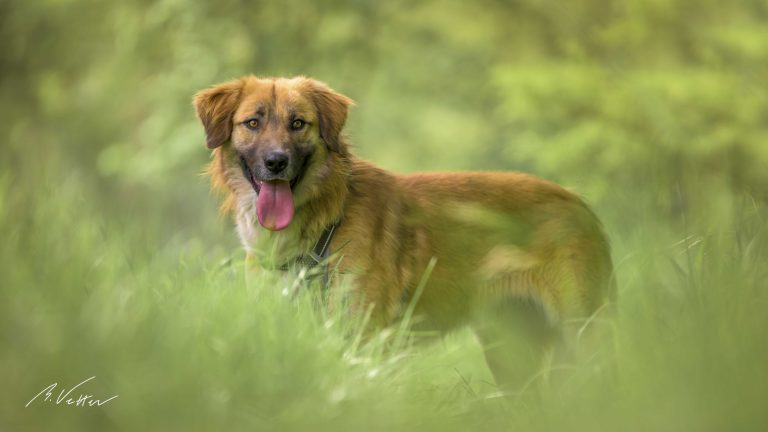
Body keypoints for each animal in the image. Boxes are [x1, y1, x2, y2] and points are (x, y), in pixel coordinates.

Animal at [195, 75, 616, 394]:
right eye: (252, 123)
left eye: (298, 123)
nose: (276, 162)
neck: (325, 222)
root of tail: (579, 203)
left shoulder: (365, 338)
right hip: (509, 351)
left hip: (582, 335)